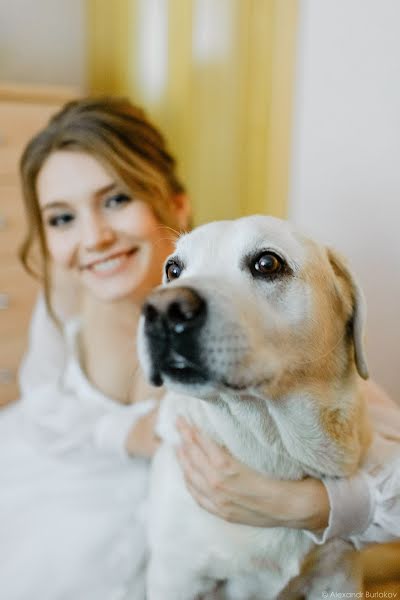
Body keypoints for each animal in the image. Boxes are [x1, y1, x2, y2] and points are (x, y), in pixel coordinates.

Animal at [138, 213, 372, 596]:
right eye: (173, 269)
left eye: (267, 263)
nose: (162, 309)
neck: (272, 456)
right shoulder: (176, 578)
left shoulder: (339, 575)